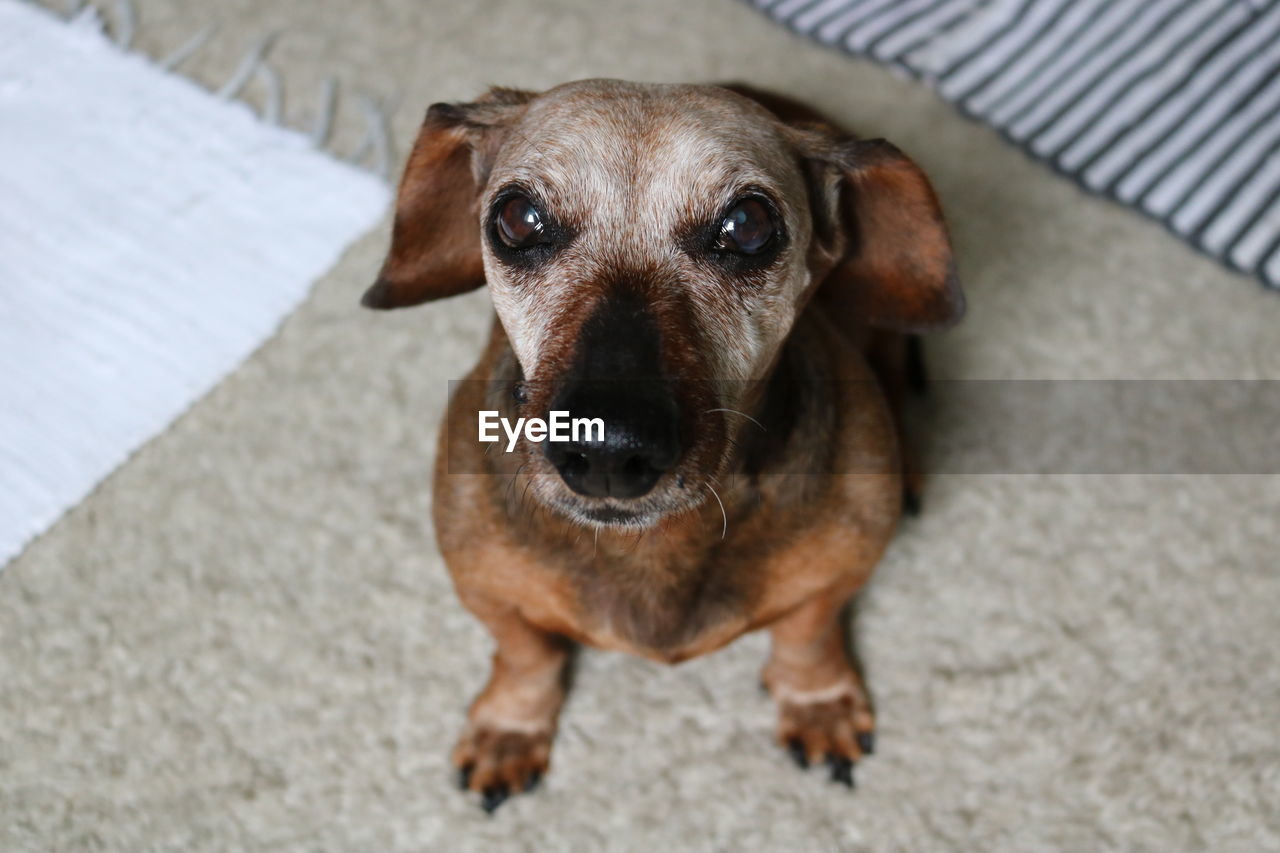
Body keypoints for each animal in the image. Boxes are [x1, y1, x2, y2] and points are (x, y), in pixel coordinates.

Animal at [360, 76, 962, 809]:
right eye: (517, 218)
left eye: (748, 225)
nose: (608, 449)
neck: (656, 543)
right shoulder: (485, 588)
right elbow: (527, 655)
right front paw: (510, 728)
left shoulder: (839, 575)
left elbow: (808, 635)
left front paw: (818, 701)